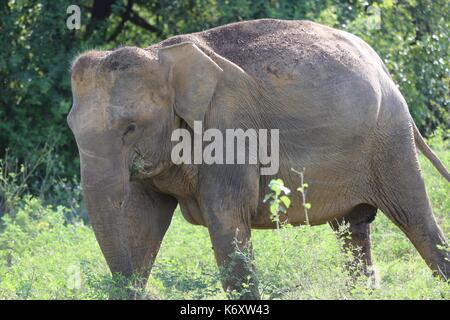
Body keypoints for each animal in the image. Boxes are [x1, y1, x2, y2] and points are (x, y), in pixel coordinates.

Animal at [67, 19, 450, 300]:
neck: (162, 55)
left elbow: (227, 222)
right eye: (71, 126)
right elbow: (142, 222)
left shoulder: (228, 131)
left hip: (389, 140)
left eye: (130, 127)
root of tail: (382, 65)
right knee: (352, 230)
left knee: (416, 220)